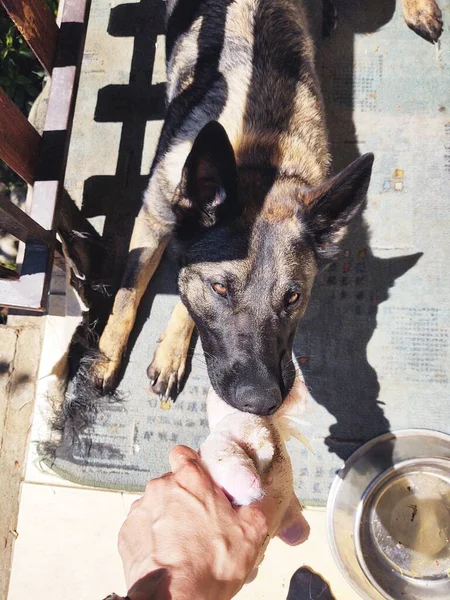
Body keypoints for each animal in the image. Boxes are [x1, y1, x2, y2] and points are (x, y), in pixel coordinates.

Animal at [91, 0, 442, 414]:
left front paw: (171, 350)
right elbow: (127, 295)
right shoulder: (153, 219)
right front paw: (106, 358)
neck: (261, 155)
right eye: (220, 289)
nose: (260, 402)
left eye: (293, 297)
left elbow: (182, 298)